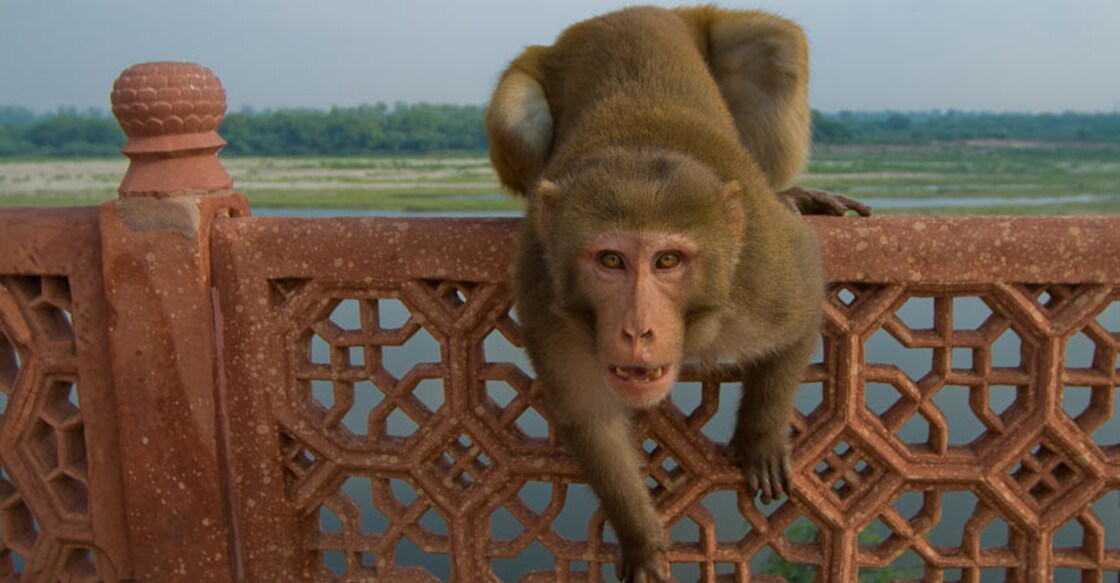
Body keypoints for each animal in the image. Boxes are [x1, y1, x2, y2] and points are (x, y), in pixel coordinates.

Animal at [486, 6, 867, 581]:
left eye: (668, 261)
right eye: (610, 261)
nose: (637, 329)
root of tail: (634, 11)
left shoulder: (760, 270)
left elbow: (800, 318)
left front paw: (761, 435)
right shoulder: (541, 290)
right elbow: (591, 418)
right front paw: (641, 540)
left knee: (774, 51)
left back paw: (789, 191)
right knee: (515, 119)